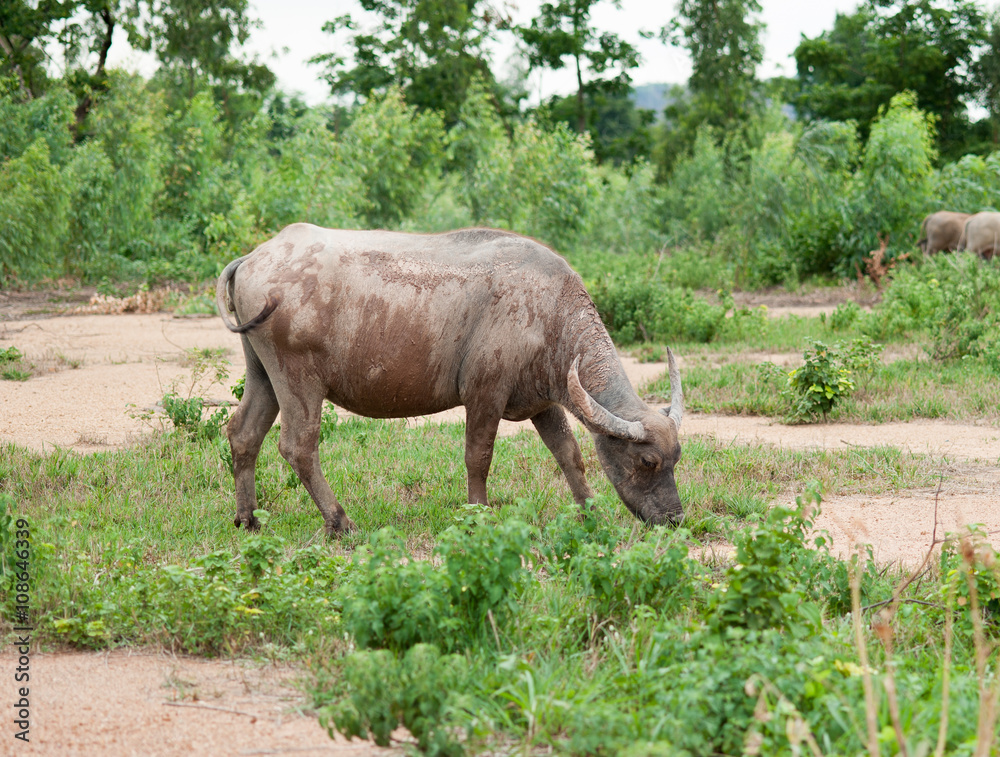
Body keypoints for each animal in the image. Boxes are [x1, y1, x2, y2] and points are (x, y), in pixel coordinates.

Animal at [216, 224, 684, 535]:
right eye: (648, 462)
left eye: (678, 458)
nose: (675, 519)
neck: (551, 315)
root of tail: (253, 257)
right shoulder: (484, 395)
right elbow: (478, 458)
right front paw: (480, 514)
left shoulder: (545, 403)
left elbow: (569, 454)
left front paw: (591, 511)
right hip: (299, 380)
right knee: (298, 445)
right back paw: (340, 521)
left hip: (262, 373)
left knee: (243, 433)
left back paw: (248, 518)